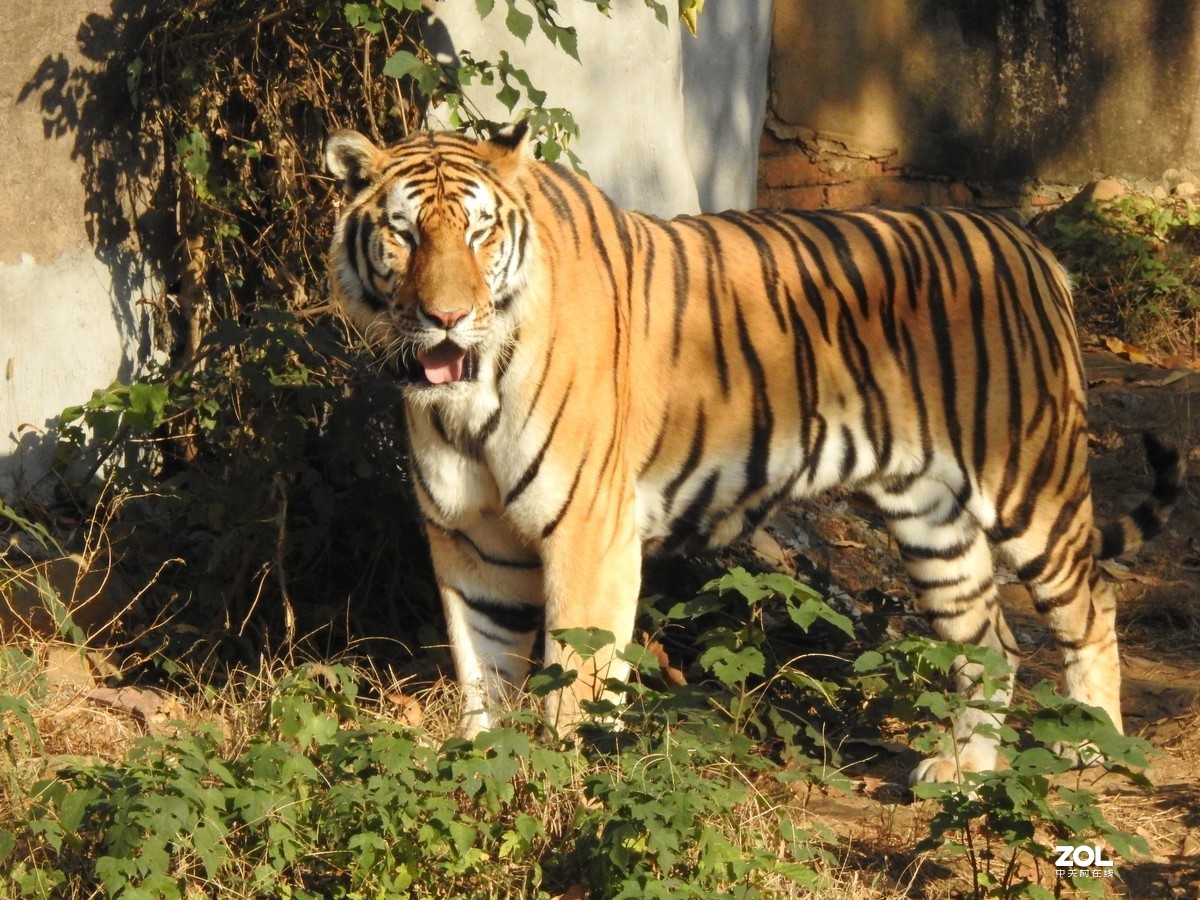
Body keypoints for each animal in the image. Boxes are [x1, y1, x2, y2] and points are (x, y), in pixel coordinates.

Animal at [324, 123, 1185, 787]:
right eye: (404, 233)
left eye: (479, 233)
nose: (447, 317)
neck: (467, 396)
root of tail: (1028, 243)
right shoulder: (471, 541)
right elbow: (484, 678)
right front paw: (487, 775)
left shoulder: (587, 532)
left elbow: (575, 684)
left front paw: (561, 791)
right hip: (931, 518)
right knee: (991, 646)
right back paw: (963, 773)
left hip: (1029, 483)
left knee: (1092, 603)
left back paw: (1090, 750)